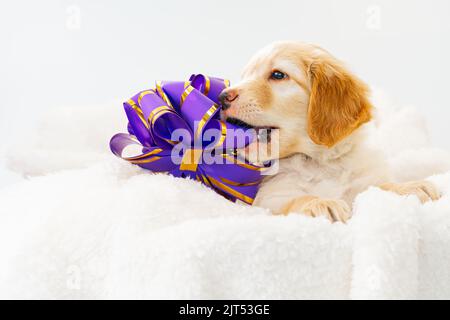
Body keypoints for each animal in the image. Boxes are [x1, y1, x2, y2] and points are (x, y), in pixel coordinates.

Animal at [220, 41, 442, 222]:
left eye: (278, 74)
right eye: (245, 77)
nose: (223, 97)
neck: (319, 162)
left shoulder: (361, 185)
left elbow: (378, 187)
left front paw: (409, 187)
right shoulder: (270, 199)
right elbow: (298, 199)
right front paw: (321, 203)